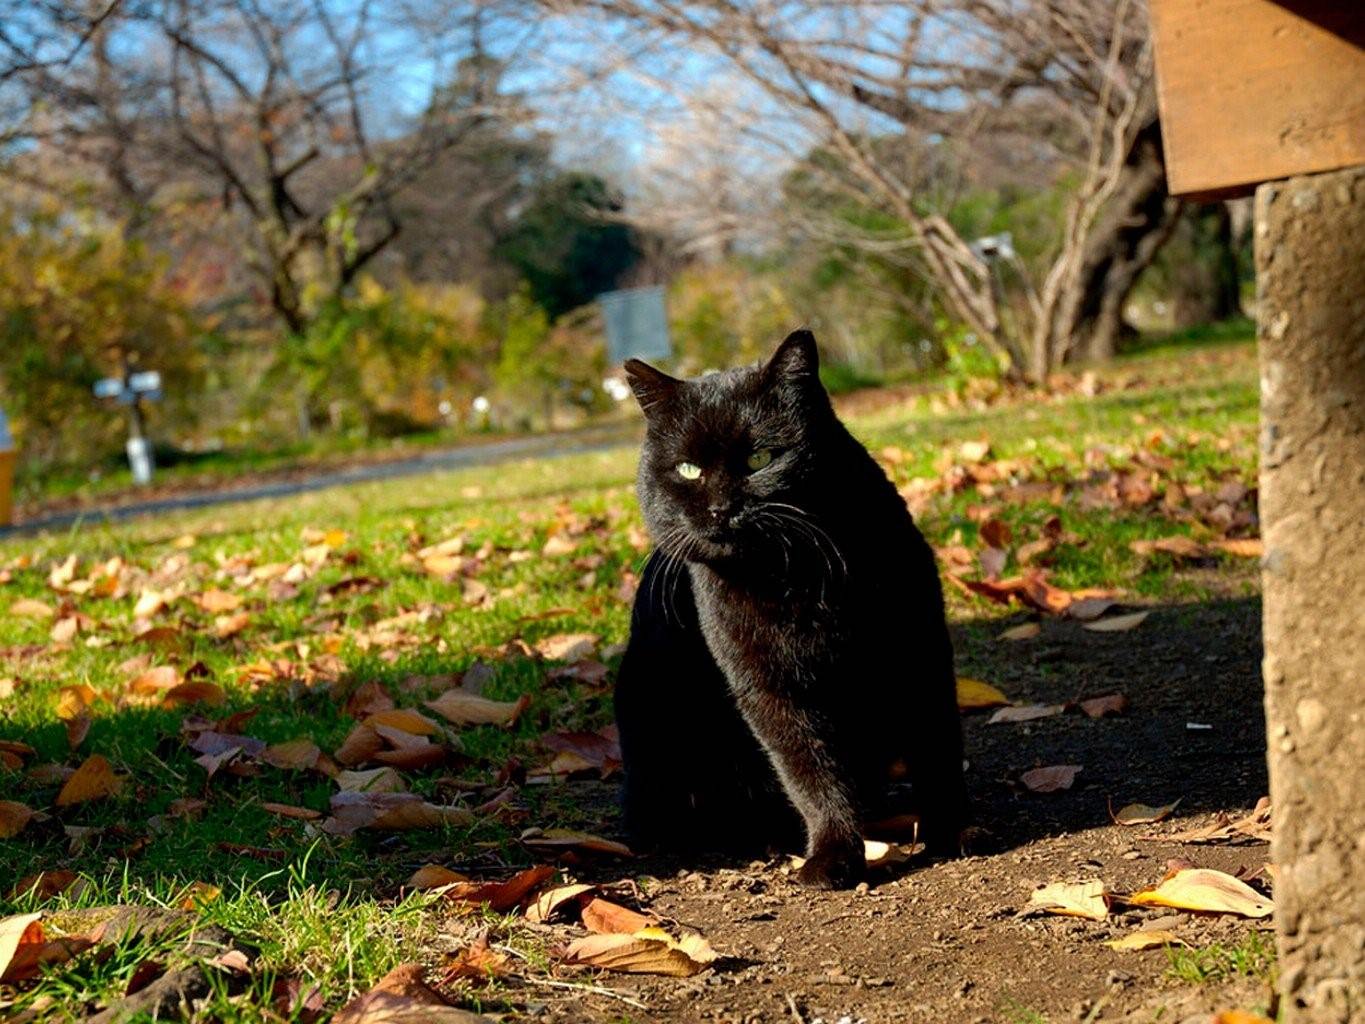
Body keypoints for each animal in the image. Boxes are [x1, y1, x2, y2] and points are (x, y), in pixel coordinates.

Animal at [614, 330, 966, 890]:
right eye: (689, 469)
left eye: (760, 459)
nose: (721, 507)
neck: (789, 579)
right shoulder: (768, 690)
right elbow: (810, 775)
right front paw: (833, 855)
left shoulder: (920, 648)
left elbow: (937, 745)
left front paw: (949, 830)